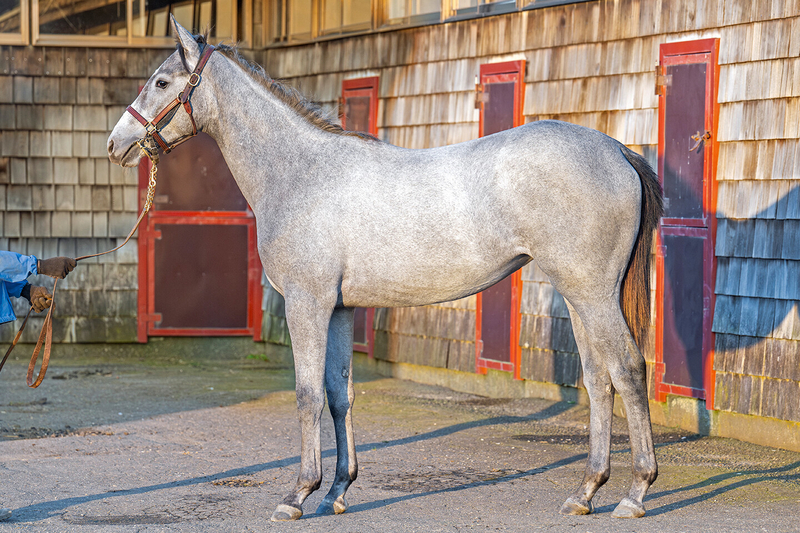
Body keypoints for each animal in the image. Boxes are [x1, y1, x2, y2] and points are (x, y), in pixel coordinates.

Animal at [108, 16, 663, 521]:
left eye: (161, 82)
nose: (116, 144)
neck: (302, 173)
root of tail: (617, 150)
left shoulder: (307, 304)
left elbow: (307, 394)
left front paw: (297, 495)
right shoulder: (339, 310)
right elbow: (340, 395)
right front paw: (336, 492)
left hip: (593, 294)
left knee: (628, 370)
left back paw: (635, 493)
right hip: (578, 294)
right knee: (599, 379)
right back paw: (585, 492)